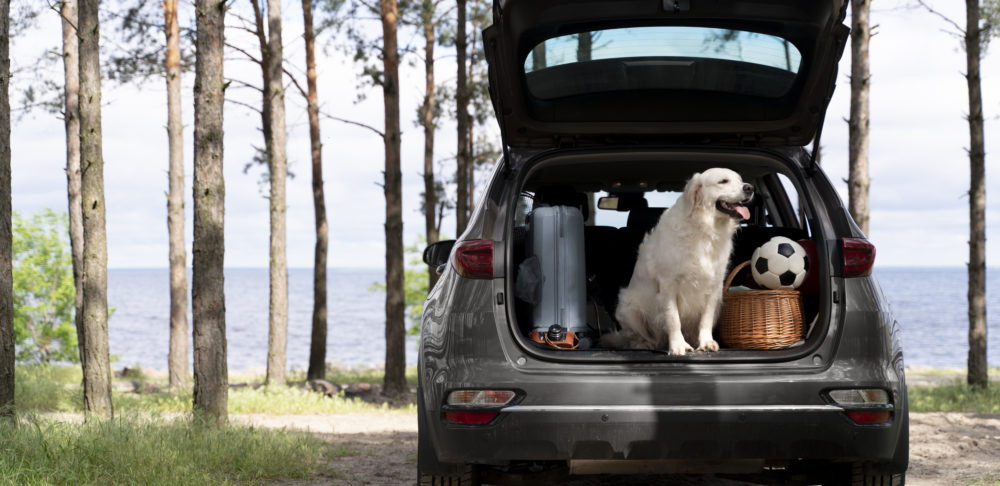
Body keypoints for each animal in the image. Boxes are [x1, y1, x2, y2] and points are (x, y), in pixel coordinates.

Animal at [604, 169, 752, 356]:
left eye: (740, 180)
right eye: (723, 181)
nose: (750, 188)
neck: (704, 229)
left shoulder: (714, 285)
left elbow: (706, 318)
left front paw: (706, 342)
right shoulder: (668, 284)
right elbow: (673, 319)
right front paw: (678, 345)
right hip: (628, 307)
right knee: (635, 339)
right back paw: (645, 344)